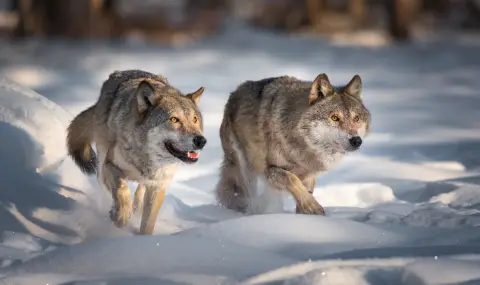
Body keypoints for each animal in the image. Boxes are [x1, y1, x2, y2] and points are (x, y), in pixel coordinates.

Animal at [66, 69, 206, 233]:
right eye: (174, 119)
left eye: (195, 119)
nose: (201, 141)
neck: (146, 160)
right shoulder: (110, 165)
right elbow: (122, 189)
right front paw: (121, 216)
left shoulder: (158, 186)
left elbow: (148, 224)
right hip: (101, 164)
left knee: (140, 191)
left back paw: (135, 209)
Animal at [217, 72, 372, 214]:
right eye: (334, 117)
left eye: (356, 118)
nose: (356, 140)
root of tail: (234, 93)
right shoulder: (270, 169)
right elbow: (292, 179)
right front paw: (312, 207)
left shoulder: (309, 175)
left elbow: (305, 190)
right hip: (245, 170)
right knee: (250, 197)